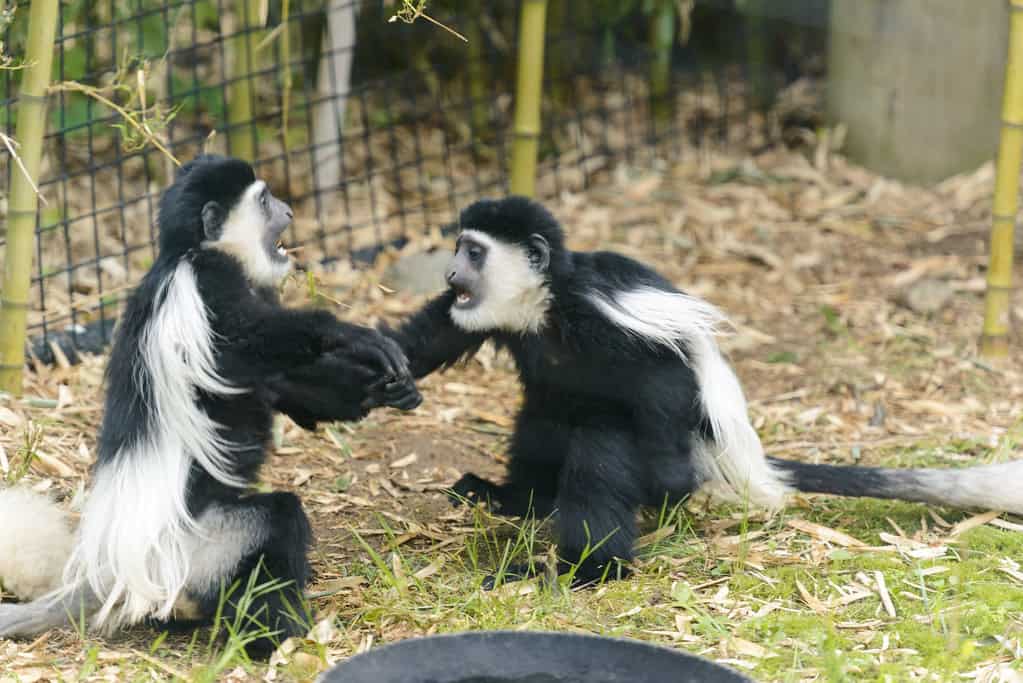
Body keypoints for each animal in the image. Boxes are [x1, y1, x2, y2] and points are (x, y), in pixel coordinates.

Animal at [0, 155, 421, 655]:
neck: (192, 252)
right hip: (197, 549)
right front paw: (352, 335)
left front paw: (386, 388)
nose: (289, 211)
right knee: (277, 518)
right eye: (265, 201)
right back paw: (275, 634)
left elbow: (285, 384)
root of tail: (109, 577)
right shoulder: (204, 287)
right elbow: (245, 340)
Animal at [381, 195, 1023, 585]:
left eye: (474, 251)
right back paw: (513, 498)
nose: (452, 274)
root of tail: (727, 450)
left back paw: (589, 567)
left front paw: (669, 485)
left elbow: (663, 373)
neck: (544, 305)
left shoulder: (598, 314)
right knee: (539, 426)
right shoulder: (483, 315)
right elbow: (429, 337)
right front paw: (375, 367)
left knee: (601, 450)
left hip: (647, 434)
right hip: (547, 411)